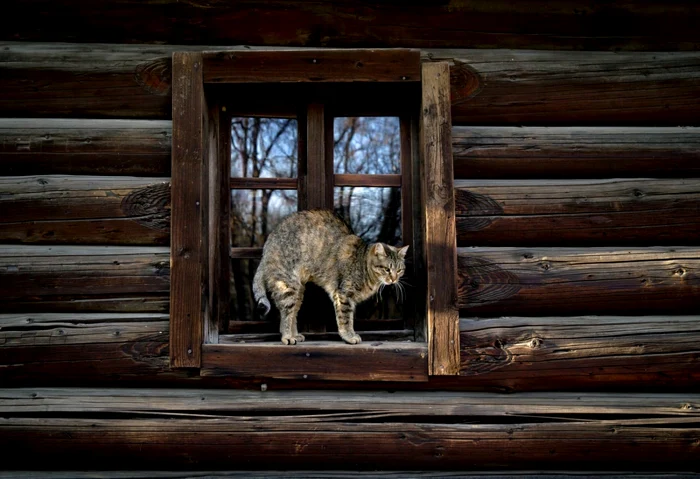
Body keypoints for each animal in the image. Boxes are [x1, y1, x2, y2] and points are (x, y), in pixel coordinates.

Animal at [252, 210, 408, 344]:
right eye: (387, 269)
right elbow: (346, 319)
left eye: (399, 270)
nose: (394, 279)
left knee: (293, 314)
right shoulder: (343, 295)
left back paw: (294, 335)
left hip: (299, 292)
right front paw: (349, 336)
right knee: (285, 314)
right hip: (288, 286)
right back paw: (287, 337)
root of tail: (266, 247)